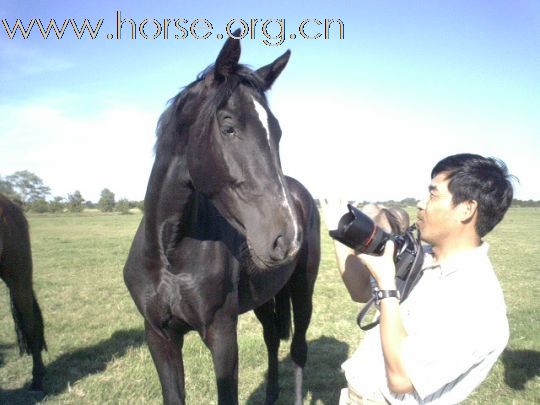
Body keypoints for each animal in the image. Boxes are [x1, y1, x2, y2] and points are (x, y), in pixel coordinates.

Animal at [124, 33, 320, 402]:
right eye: (229, 127)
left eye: (278, 132)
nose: (286, 237)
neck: (169, 252)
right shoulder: (159, 336)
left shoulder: (222, 336)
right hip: (264, 296)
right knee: (272, 337)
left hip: (303, 288)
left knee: (298, 349)